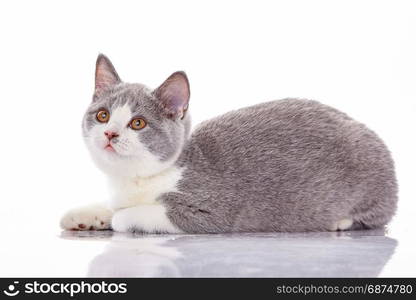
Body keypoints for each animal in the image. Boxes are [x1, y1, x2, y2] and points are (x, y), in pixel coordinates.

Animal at [60, 53, 398, 232]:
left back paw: (341, 221)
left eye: (138, 123)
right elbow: (113, 205)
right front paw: (85, 215)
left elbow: (129, 215)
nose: (110, 133)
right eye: (103, 115)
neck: (136, 180)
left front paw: (116, 218)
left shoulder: (209, 211)